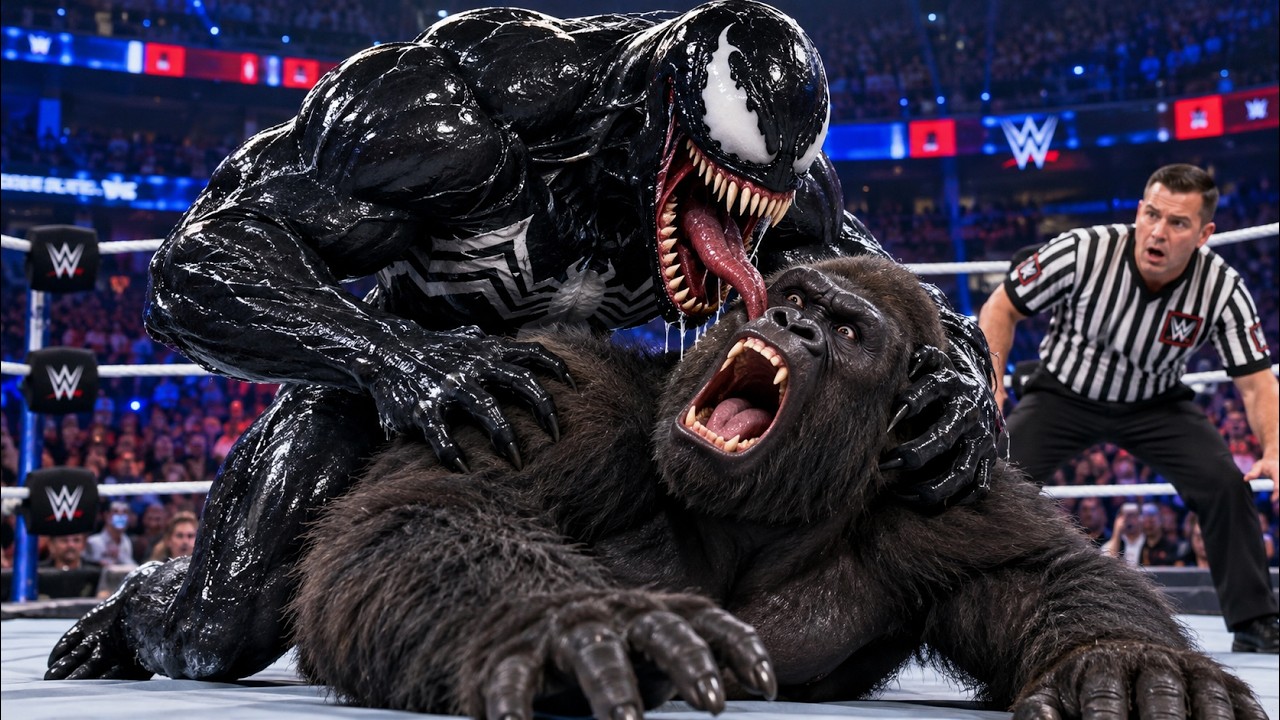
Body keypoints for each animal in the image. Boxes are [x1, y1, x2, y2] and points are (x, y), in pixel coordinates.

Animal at [290, 256, 1265, 719]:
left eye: (847, 329)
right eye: (790, 294)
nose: (793, 321)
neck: (748, 521)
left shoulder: (948, 505)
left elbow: (1038, 572)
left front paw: (1126, 664)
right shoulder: (566, 405)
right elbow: (431, 513)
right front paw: (571, 623)